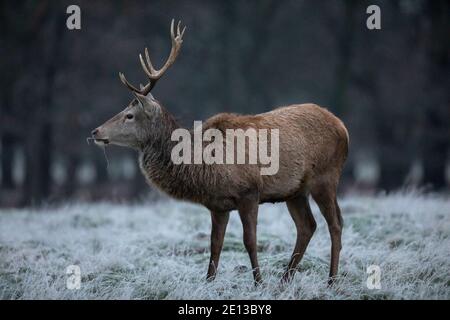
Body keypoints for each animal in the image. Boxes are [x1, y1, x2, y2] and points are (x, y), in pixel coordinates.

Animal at [91, 19, 348, 284]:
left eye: (129, 115)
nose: (95, 131)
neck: (205, 166)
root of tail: (342, 126)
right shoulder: (217, 205)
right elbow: (215, 245)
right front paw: (209, 282)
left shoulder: (249, 192)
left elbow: (250, 241)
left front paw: (258, 282)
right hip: (295, 191)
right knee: (307, 226)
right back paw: (284, 281)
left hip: (326, 177)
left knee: (336, 224)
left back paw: (331, 280)